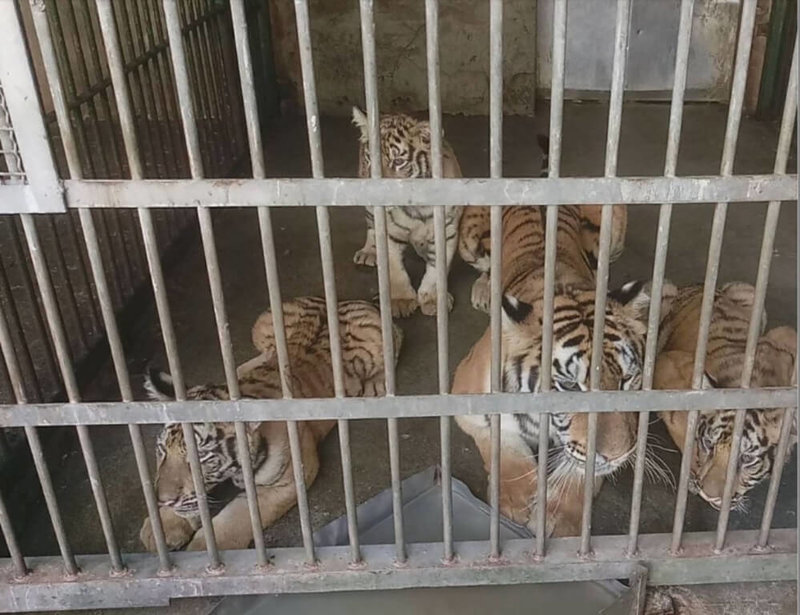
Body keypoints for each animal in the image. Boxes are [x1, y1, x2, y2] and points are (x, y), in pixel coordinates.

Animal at [139, 298, 400, 552]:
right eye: (162, 450)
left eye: (201, 456)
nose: (163, 500)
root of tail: (340, 299)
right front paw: (162, 526)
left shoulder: (283, 482)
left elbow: (236, 517)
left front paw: (204, 551)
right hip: (264, 329)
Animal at [350, 106, 462, 318]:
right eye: (370, 158)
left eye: (399, 161)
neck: (418, 207)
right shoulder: (390, 233)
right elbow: (394, 268)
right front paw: (400, 300)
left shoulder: (446, 230)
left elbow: (436, 271)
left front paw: (434, 299)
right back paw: (369, 252)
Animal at [450, 203, 668, 540]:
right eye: (571, 386)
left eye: (626, 379)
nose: (619, 455)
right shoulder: (464, 398)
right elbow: (503, 444)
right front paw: (517, 501)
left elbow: (582, 468)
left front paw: (557, 517)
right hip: (468, 238)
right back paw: (485, 289)